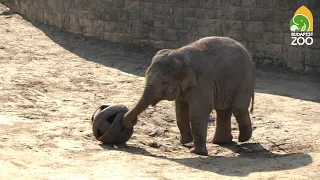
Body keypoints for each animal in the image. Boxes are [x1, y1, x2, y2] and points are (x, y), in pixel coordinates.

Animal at [122, 35, 255, 155]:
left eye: (164, 82)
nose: (132, 121)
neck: (180, 54)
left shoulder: (202, 82)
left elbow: (199, 111)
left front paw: (197, 152)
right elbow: (180, 110)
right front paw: (185, 141)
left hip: (245, 79)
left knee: (238, 108)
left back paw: (243, 139)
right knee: (223, 110)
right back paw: (221, 142)